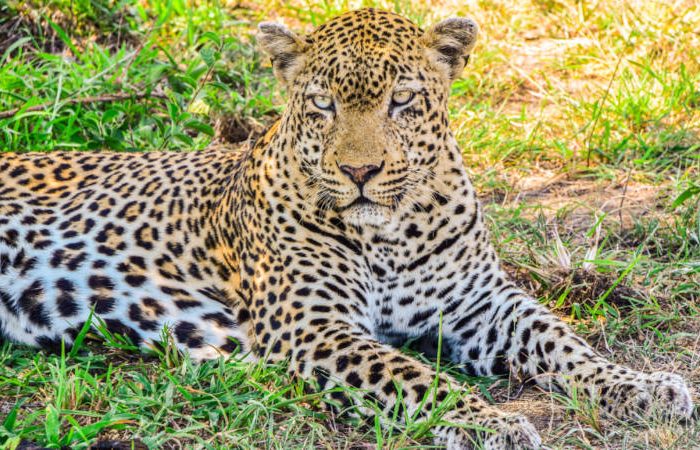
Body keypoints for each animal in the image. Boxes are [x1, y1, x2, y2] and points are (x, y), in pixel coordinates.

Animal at [0, 7, 692, 450]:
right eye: (322, 104)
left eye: (402, 100)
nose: (361, 171)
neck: (394, 233)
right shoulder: (314, 327)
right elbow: (415, 378)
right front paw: (489, 424)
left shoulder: (480, 303)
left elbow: (562, 340)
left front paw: (642, 387)